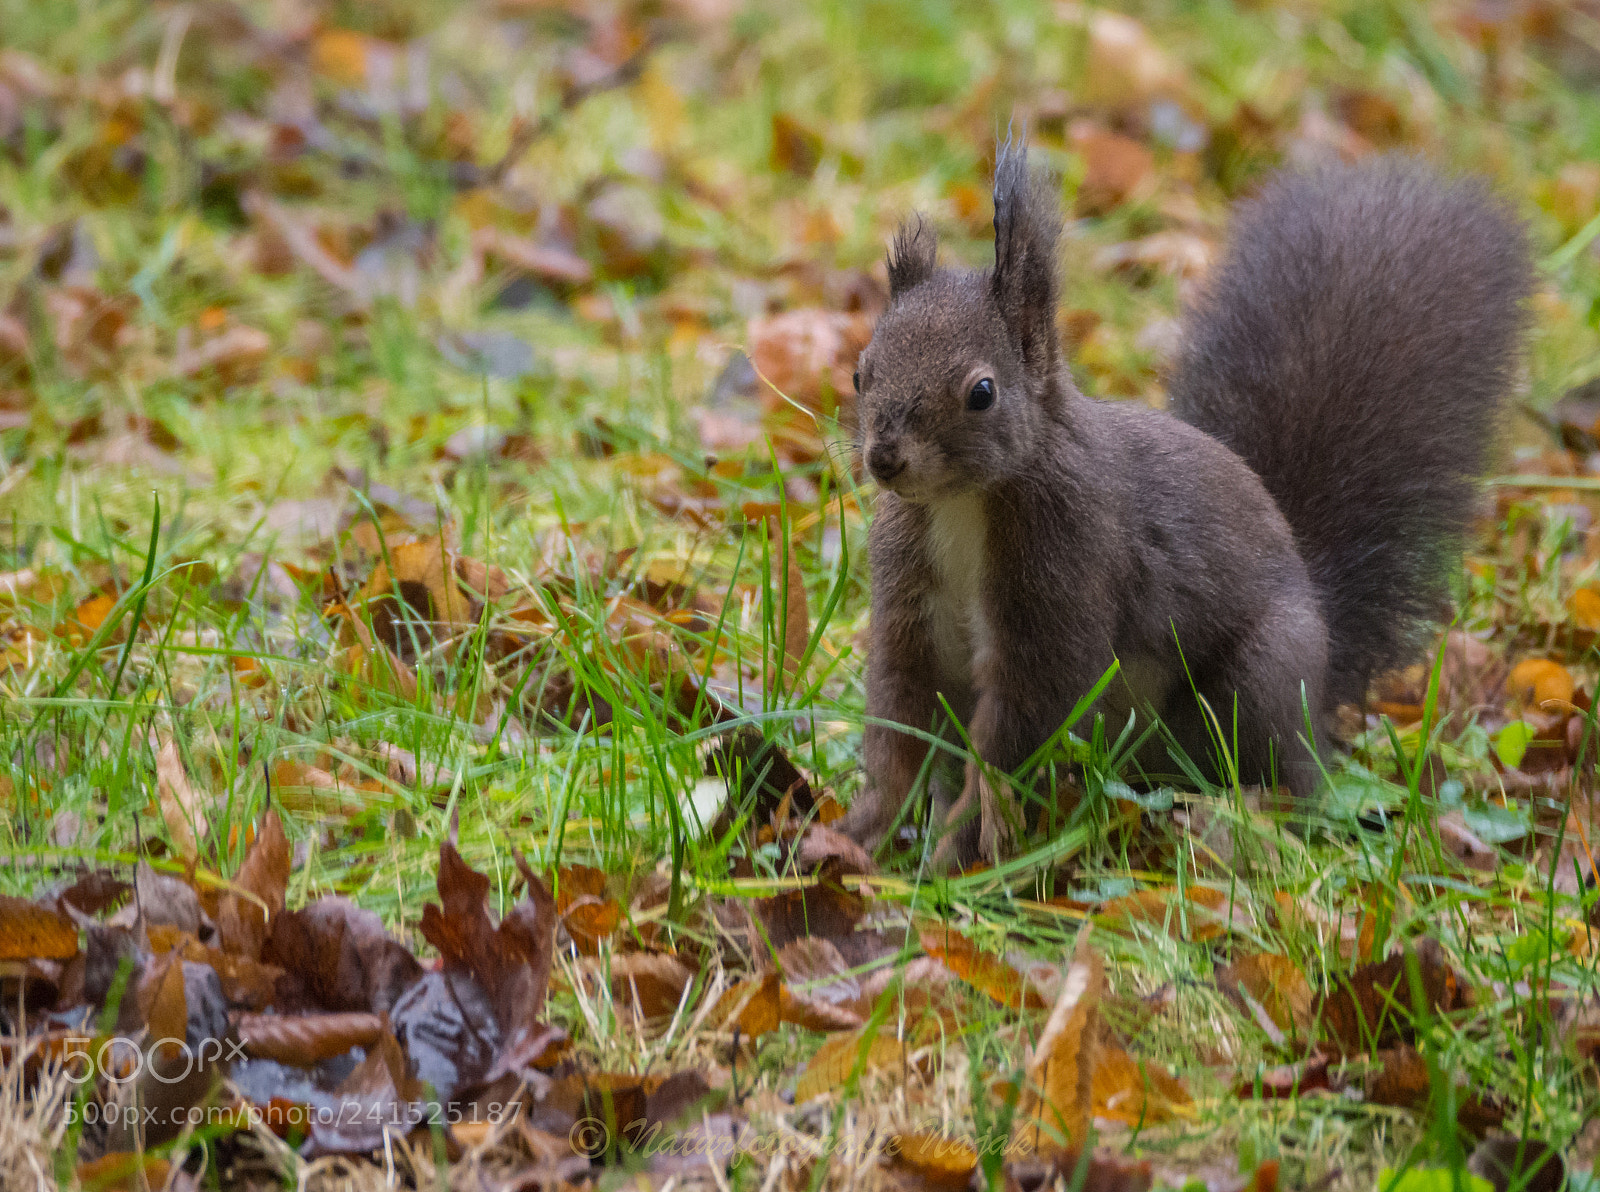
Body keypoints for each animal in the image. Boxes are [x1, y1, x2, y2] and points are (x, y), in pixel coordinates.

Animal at [838, 142, 1531, 868]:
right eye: (860, 372)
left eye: (982, 392)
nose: (884, 457)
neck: (962, 506)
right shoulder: (912, 605)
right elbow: (900, 721)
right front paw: (862, 831)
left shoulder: (1064, 571)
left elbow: (1018, 732)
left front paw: (962, 848)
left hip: (1260, 681)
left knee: (1284, 778)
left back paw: (1251, 814)